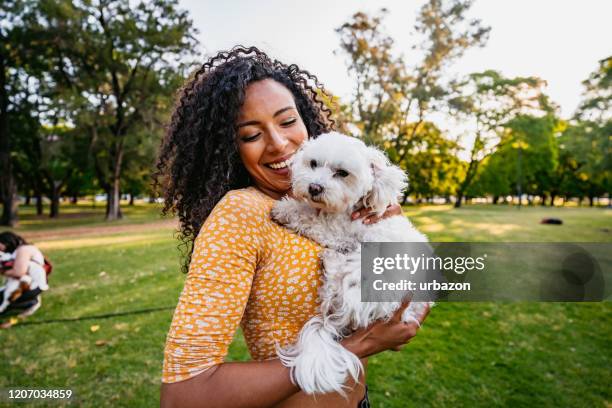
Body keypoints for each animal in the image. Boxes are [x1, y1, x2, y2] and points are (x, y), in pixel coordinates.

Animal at [270, 133, 432, 396]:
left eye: (342, 173)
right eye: (313, 164)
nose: (314, 187)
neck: (348, 209)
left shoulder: (341, 231)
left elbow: (312, 220)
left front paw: (287, 209)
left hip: (366, 271)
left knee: (338, 286)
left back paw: (332, 261)